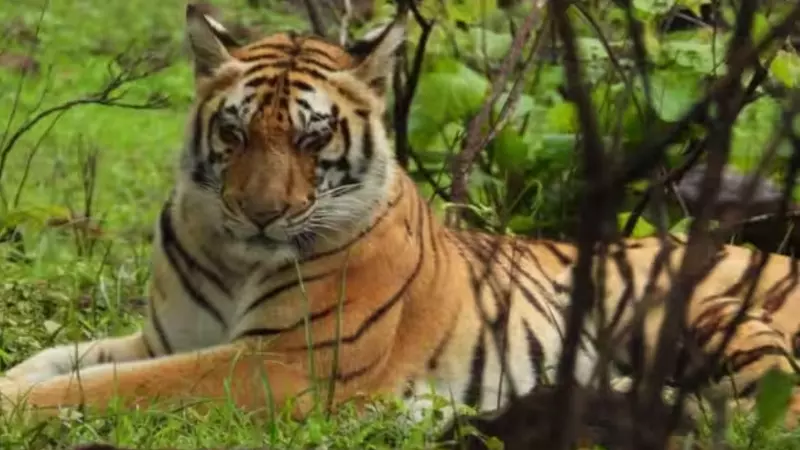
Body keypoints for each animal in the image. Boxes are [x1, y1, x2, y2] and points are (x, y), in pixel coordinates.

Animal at [2, 3, 800, 432]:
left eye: (311, 139)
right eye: (234, 133)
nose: (260, 215)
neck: (234, 256)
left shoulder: (282, 361)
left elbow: (120, 386)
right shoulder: (162, 337)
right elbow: (59, 360)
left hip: (698, 309)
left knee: (769, 412)